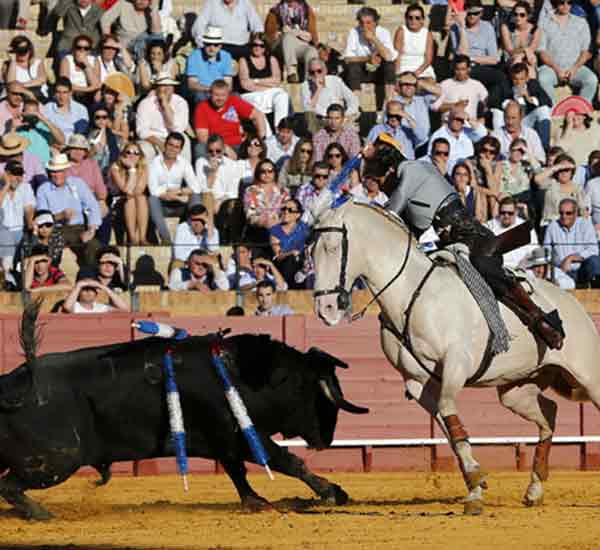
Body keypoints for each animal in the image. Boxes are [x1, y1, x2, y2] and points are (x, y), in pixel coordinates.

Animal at [0, 310, 368, 520]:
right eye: (317, 394)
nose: (327, 439)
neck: (243, 372)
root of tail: (16, 384)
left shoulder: (226, 440)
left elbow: (237, 472)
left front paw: (255, 501)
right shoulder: (239, 434)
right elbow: (284, 460)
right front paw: (333, 492)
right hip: (57, 460)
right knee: (10, 485)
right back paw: (41, 513)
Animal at [310, 202, 600, 516]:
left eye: (332, 247)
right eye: (310, 251)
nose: (325, 309)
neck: (412, 294)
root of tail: (574, 304)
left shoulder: (455, 364)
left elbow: (448, 410)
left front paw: (474, 482)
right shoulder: (418, 382)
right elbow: (451, 430)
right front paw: (475, 486)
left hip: (590, 377)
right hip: (516, 390)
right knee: (549, 412)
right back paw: (534, 489)